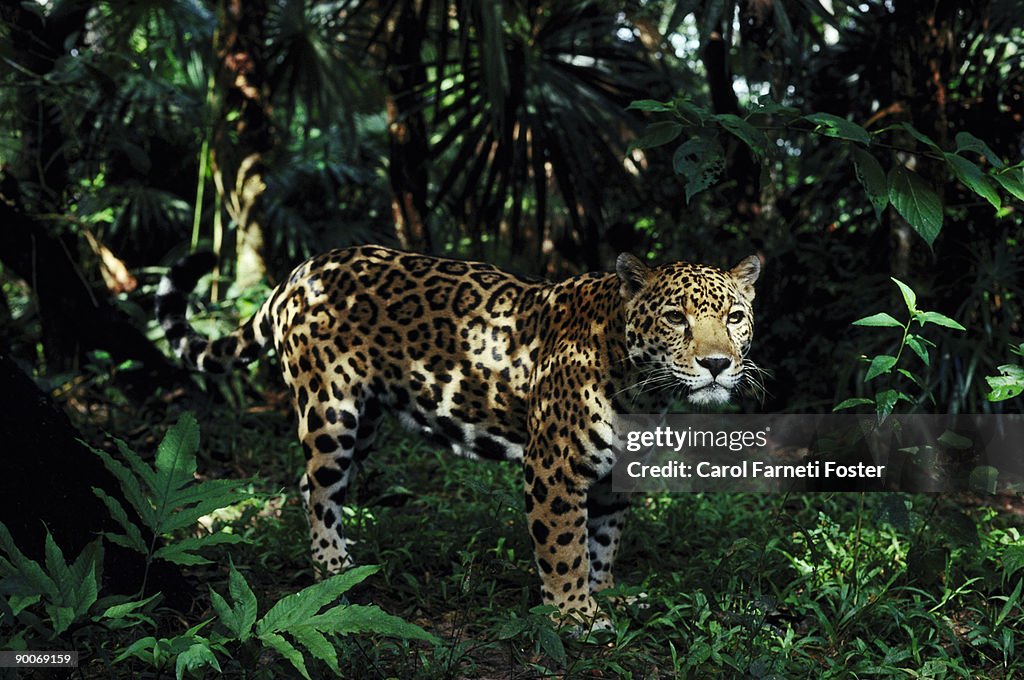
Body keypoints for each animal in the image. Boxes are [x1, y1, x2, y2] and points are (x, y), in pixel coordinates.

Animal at [156, 245, 761, 625]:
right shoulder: (553, 468)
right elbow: (565, 548)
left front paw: (607, 595)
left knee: (312, 485)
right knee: (320, 488)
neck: (643, 389)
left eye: (734, 317)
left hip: (366, 422)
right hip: (331, 410)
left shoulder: (613, 477)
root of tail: (301, 271)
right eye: (676, 318)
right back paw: (333, 568)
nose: (715, 365)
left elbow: (603, 542)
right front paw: (576, 616)